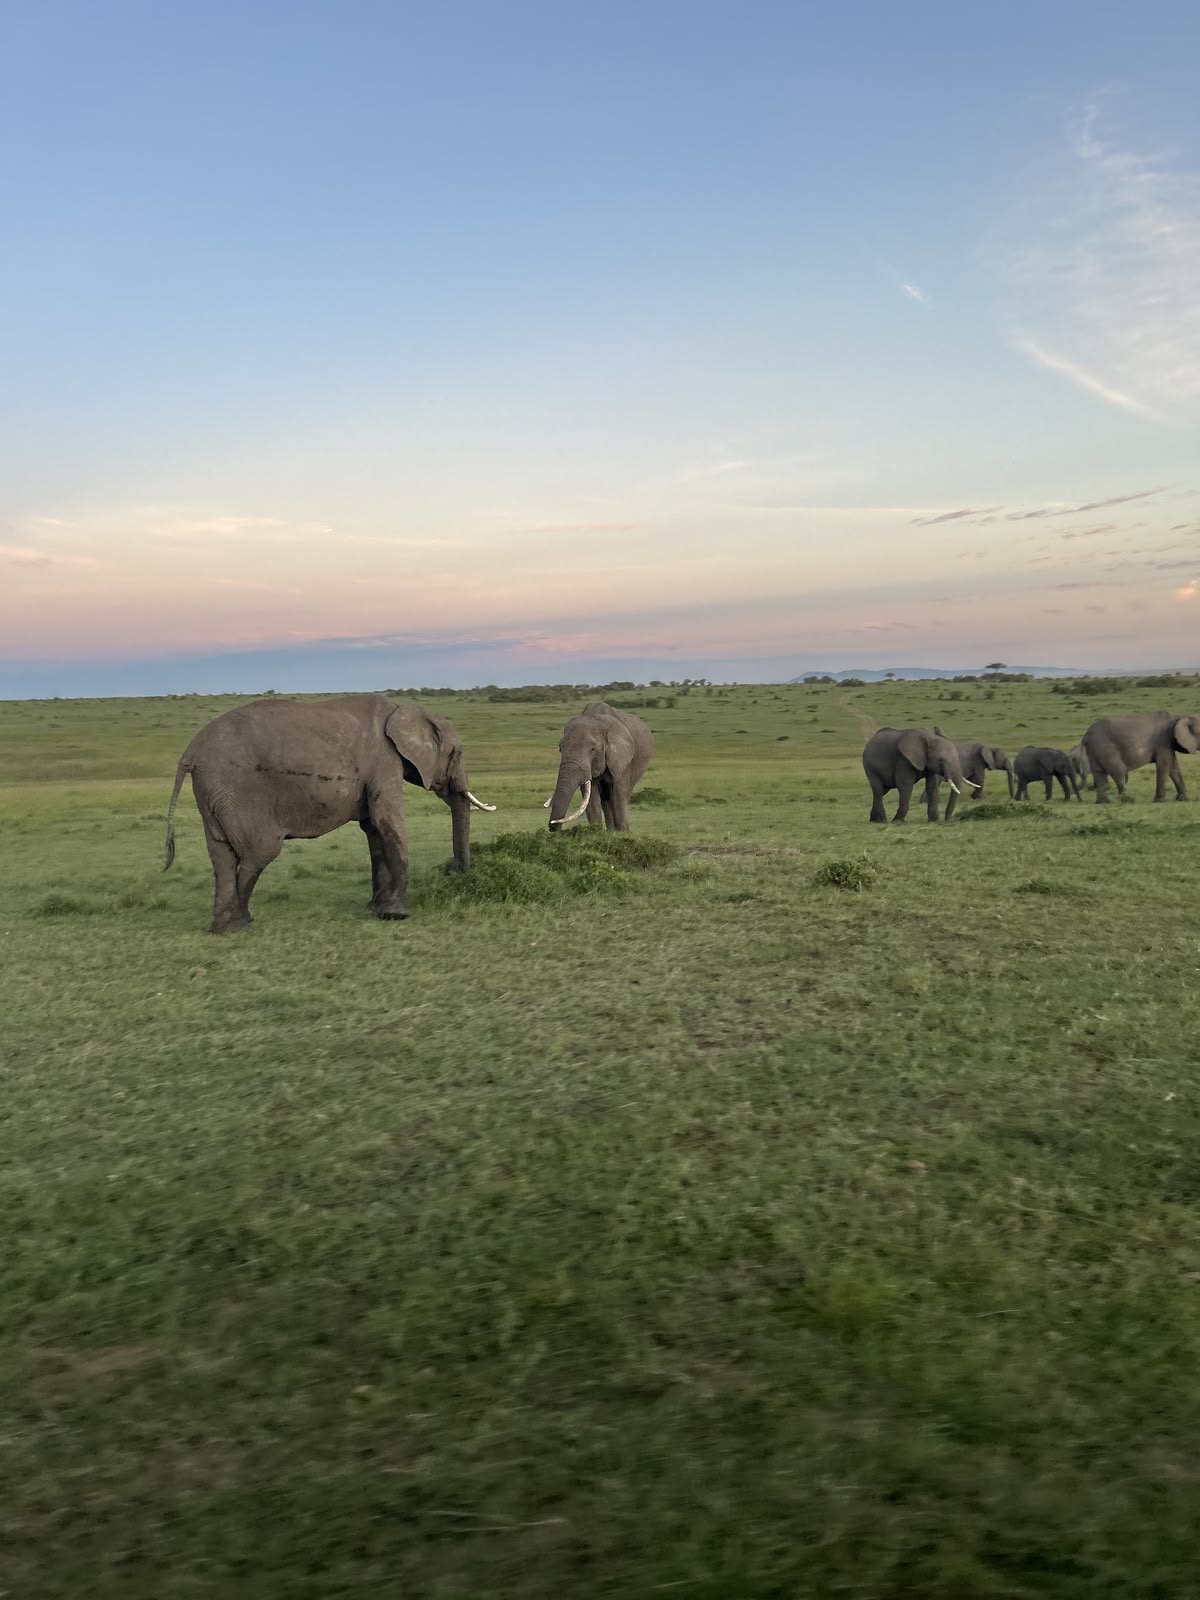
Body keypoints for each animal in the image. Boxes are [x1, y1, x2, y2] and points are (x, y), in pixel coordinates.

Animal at [163, 694, 495, 933]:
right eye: (457, 753)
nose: (454, 872)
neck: (403, 709)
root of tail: (189, 752)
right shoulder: (384, 761)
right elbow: (387, 822)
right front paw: (397, 915)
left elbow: (374, 831)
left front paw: (378, 910)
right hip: (236, 791)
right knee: (258, 854)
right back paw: (241, 924)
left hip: (213, 792)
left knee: (221, 858)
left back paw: (223, 928)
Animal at [545, 702, 653, 831]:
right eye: (560, 749)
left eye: (593, 749)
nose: (552, 827)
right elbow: (591, 797)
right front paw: (595, 831)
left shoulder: (622, 759)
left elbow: (619, 793)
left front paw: (623, 833)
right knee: (606, 800)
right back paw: (611, 831)